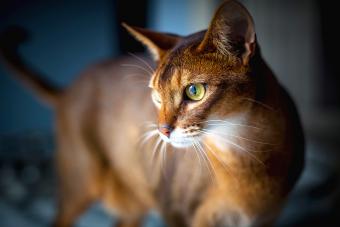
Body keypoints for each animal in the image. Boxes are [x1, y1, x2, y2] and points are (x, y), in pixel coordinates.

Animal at [0, 0, 302, 227]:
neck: (248, 156)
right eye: (156, 95)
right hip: (80, 182)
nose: (163, 131)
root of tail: (70, 87)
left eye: (194, 91)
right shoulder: (177, 213)